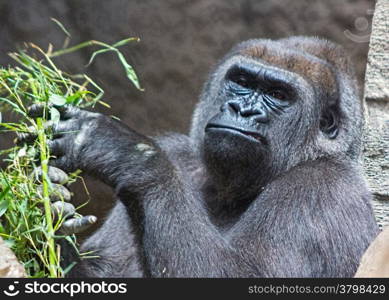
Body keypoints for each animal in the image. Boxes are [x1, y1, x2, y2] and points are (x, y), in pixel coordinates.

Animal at [25, 36, 378, 278]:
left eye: (279, 95)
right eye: (242, 82)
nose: (242, 109)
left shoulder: (324, 187)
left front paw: (126, 154)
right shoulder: (178, 151)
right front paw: (46, 215)